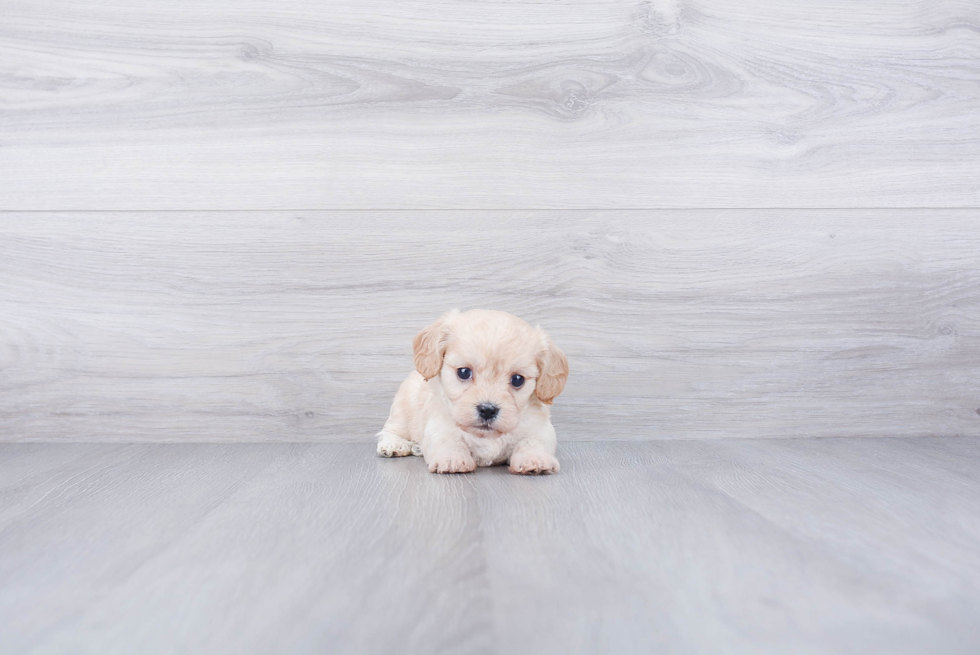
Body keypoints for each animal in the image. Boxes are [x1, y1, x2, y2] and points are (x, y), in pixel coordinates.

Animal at [378, 310, 572, 474]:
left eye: (518, 379)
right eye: (464, 372)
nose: (487, 410)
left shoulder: (540, 428)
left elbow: (532, 441)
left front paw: (535, 459)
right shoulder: (439, 425)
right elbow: (449, 440)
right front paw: (452, 459)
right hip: (402, 411)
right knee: (391, 430)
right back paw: (394, 445)